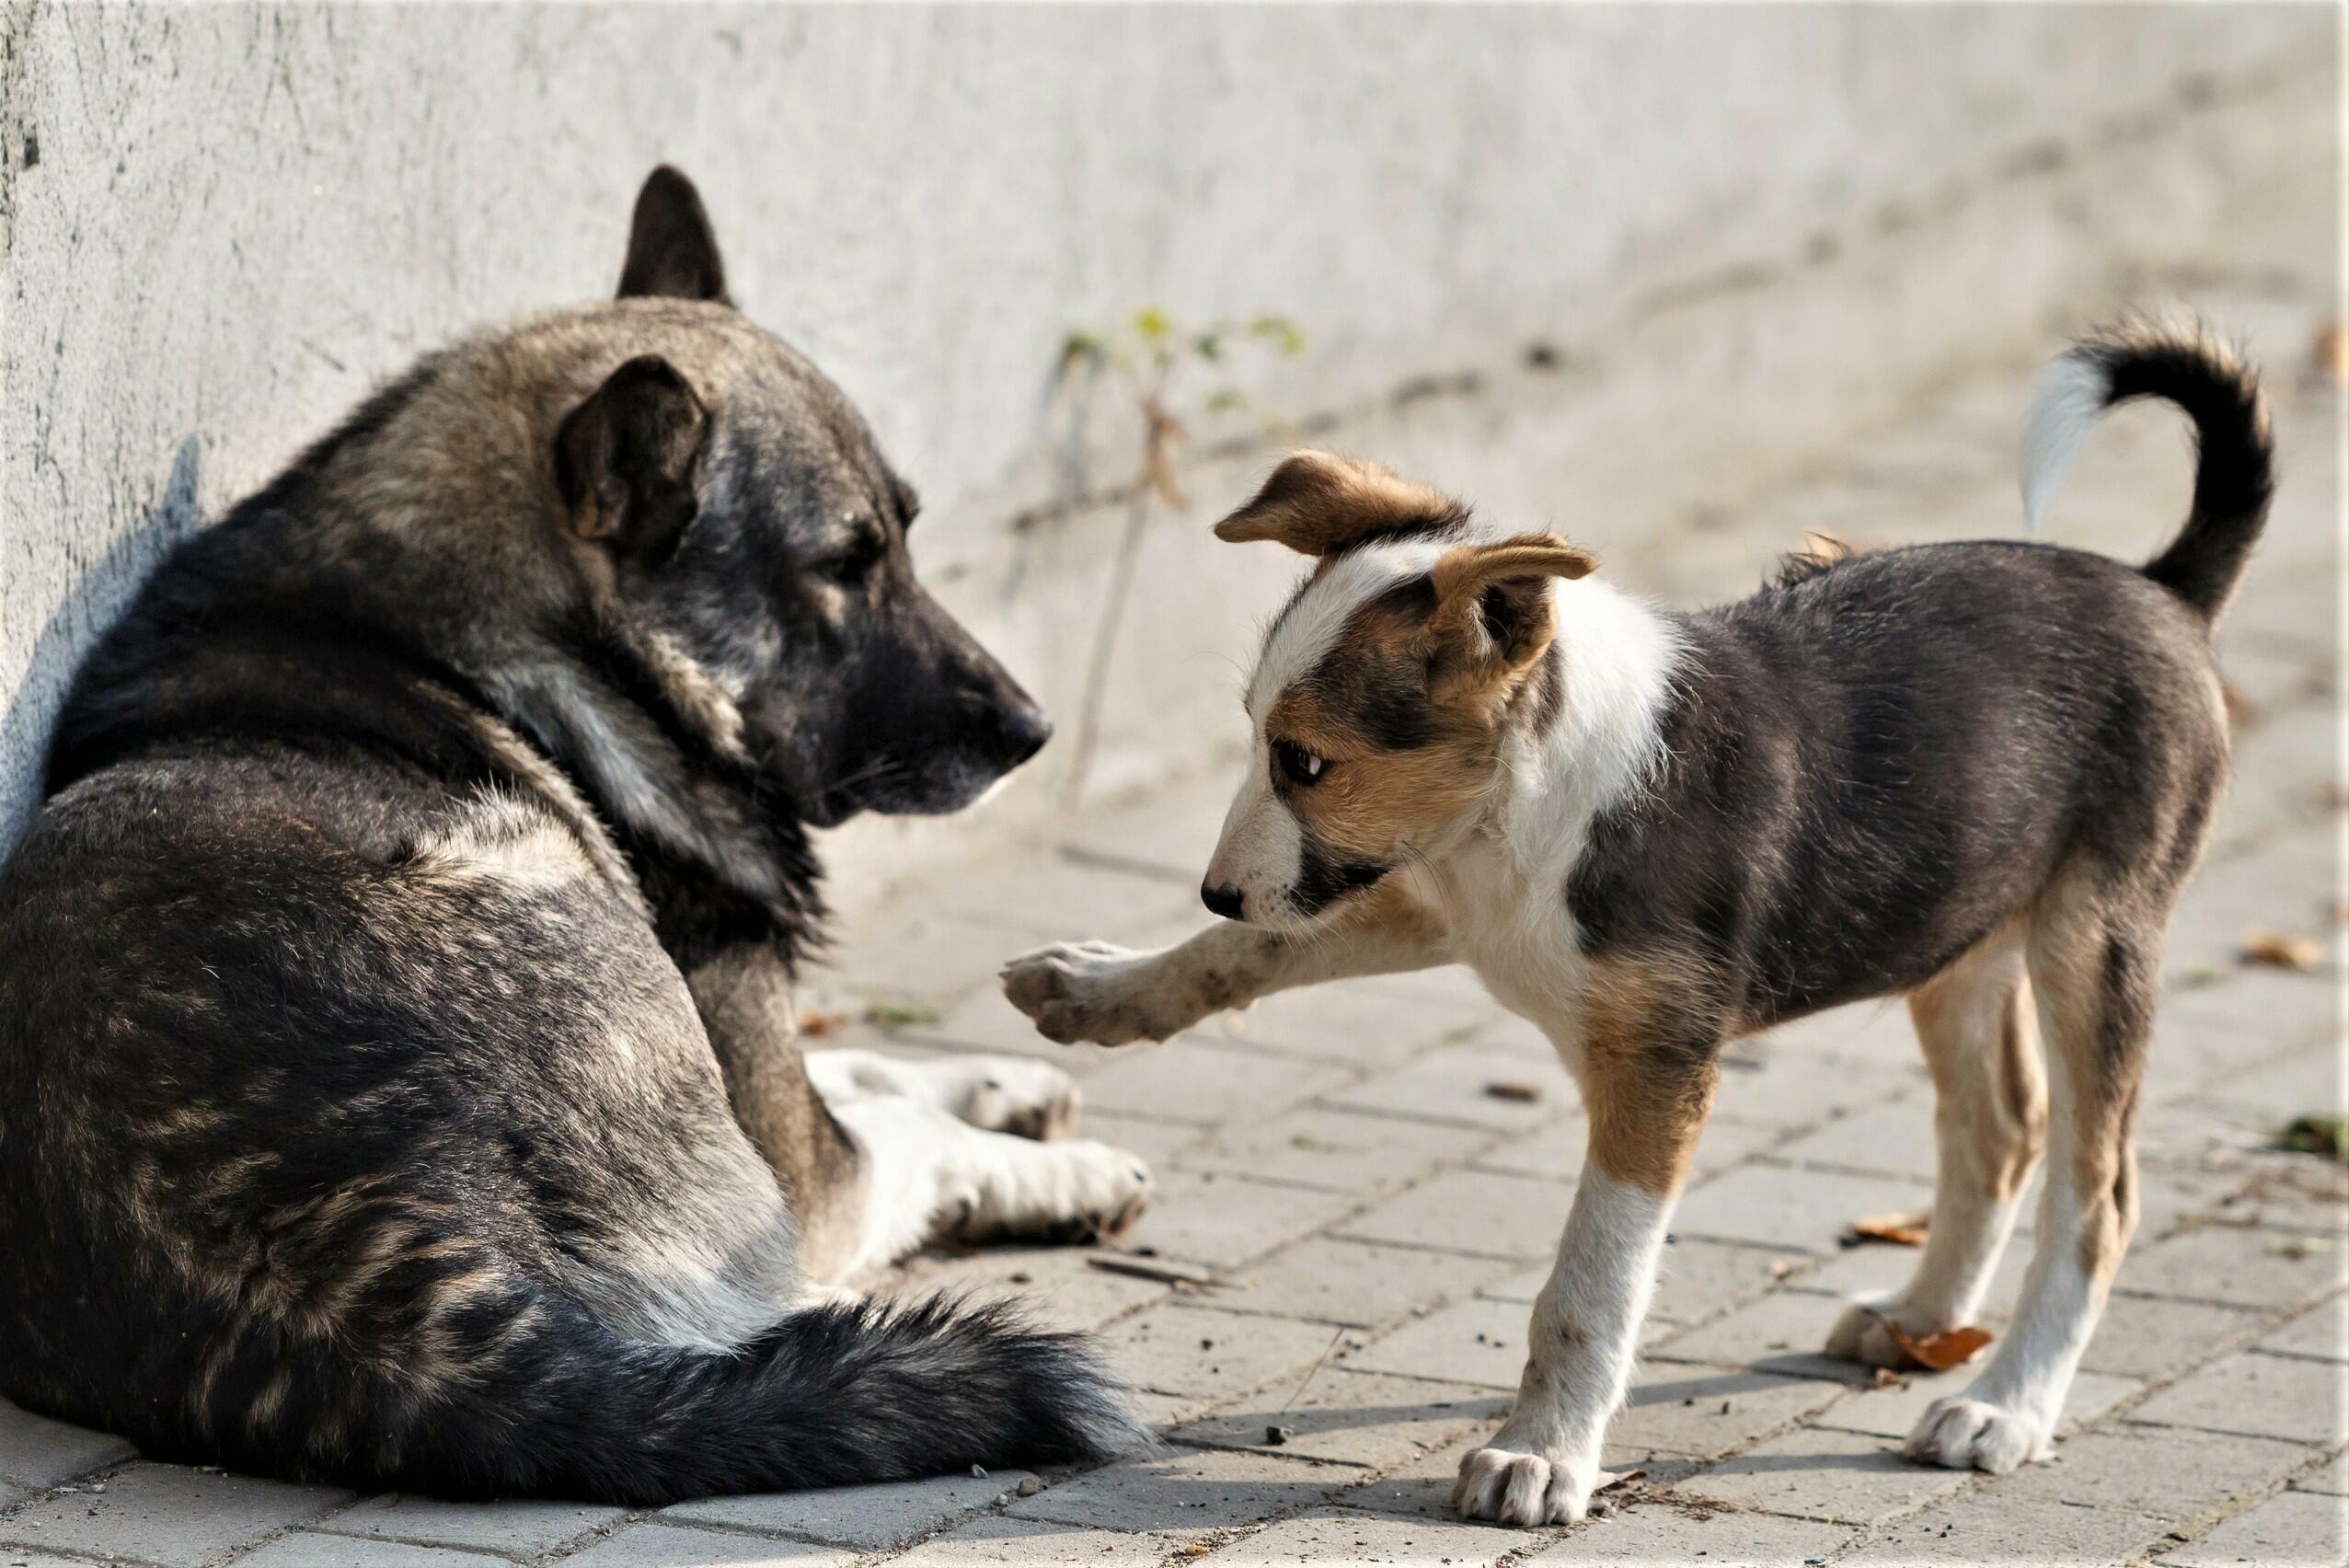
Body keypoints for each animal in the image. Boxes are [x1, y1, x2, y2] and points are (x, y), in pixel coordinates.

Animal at [0, 166, 1156, 1505]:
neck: (547, 635)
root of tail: (360, 1290)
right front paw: (1056, 1166)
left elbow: (870, 1067)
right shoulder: (796, 1161)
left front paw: (1011, 1083)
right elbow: (888, 1123)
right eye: (844, 564)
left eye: (907, 534)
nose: (1031, 729)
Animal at [1009, 324, 2274, 1523]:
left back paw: (2004, 1405)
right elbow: (1252, 949)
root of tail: (2164, 589)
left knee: (2096, 1194)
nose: (1215, 886)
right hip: (1953, 921)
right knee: (2001, 1129)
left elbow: (1589, 1284)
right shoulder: (1437, 900)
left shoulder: (1657, 1066)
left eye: (1306, 762)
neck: (1527, 806)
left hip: (2094, 942)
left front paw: (1541, 1458)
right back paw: (1919, 1320)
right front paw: (1099, 988)